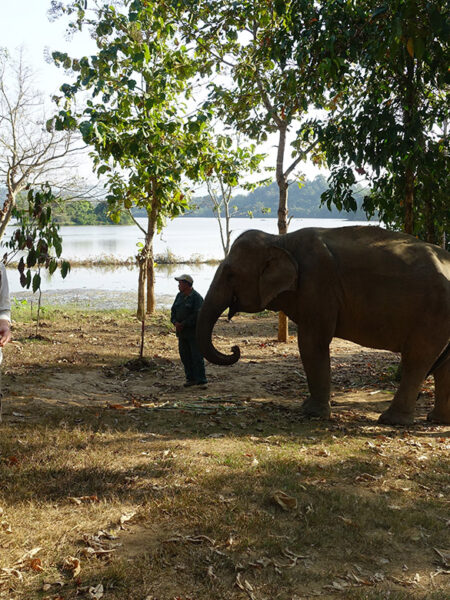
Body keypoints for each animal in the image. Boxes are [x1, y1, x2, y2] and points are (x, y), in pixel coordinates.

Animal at [197, 226, 450, 426]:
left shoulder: (317, 286)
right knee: (442, 365)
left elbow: (312, 343)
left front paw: (311, 413)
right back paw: (437, 420)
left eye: (230, 274)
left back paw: (392, 421)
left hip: (434, 313)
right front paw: (309, 408)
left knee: (417, 359)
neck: (280, 239)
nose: (235, 348)